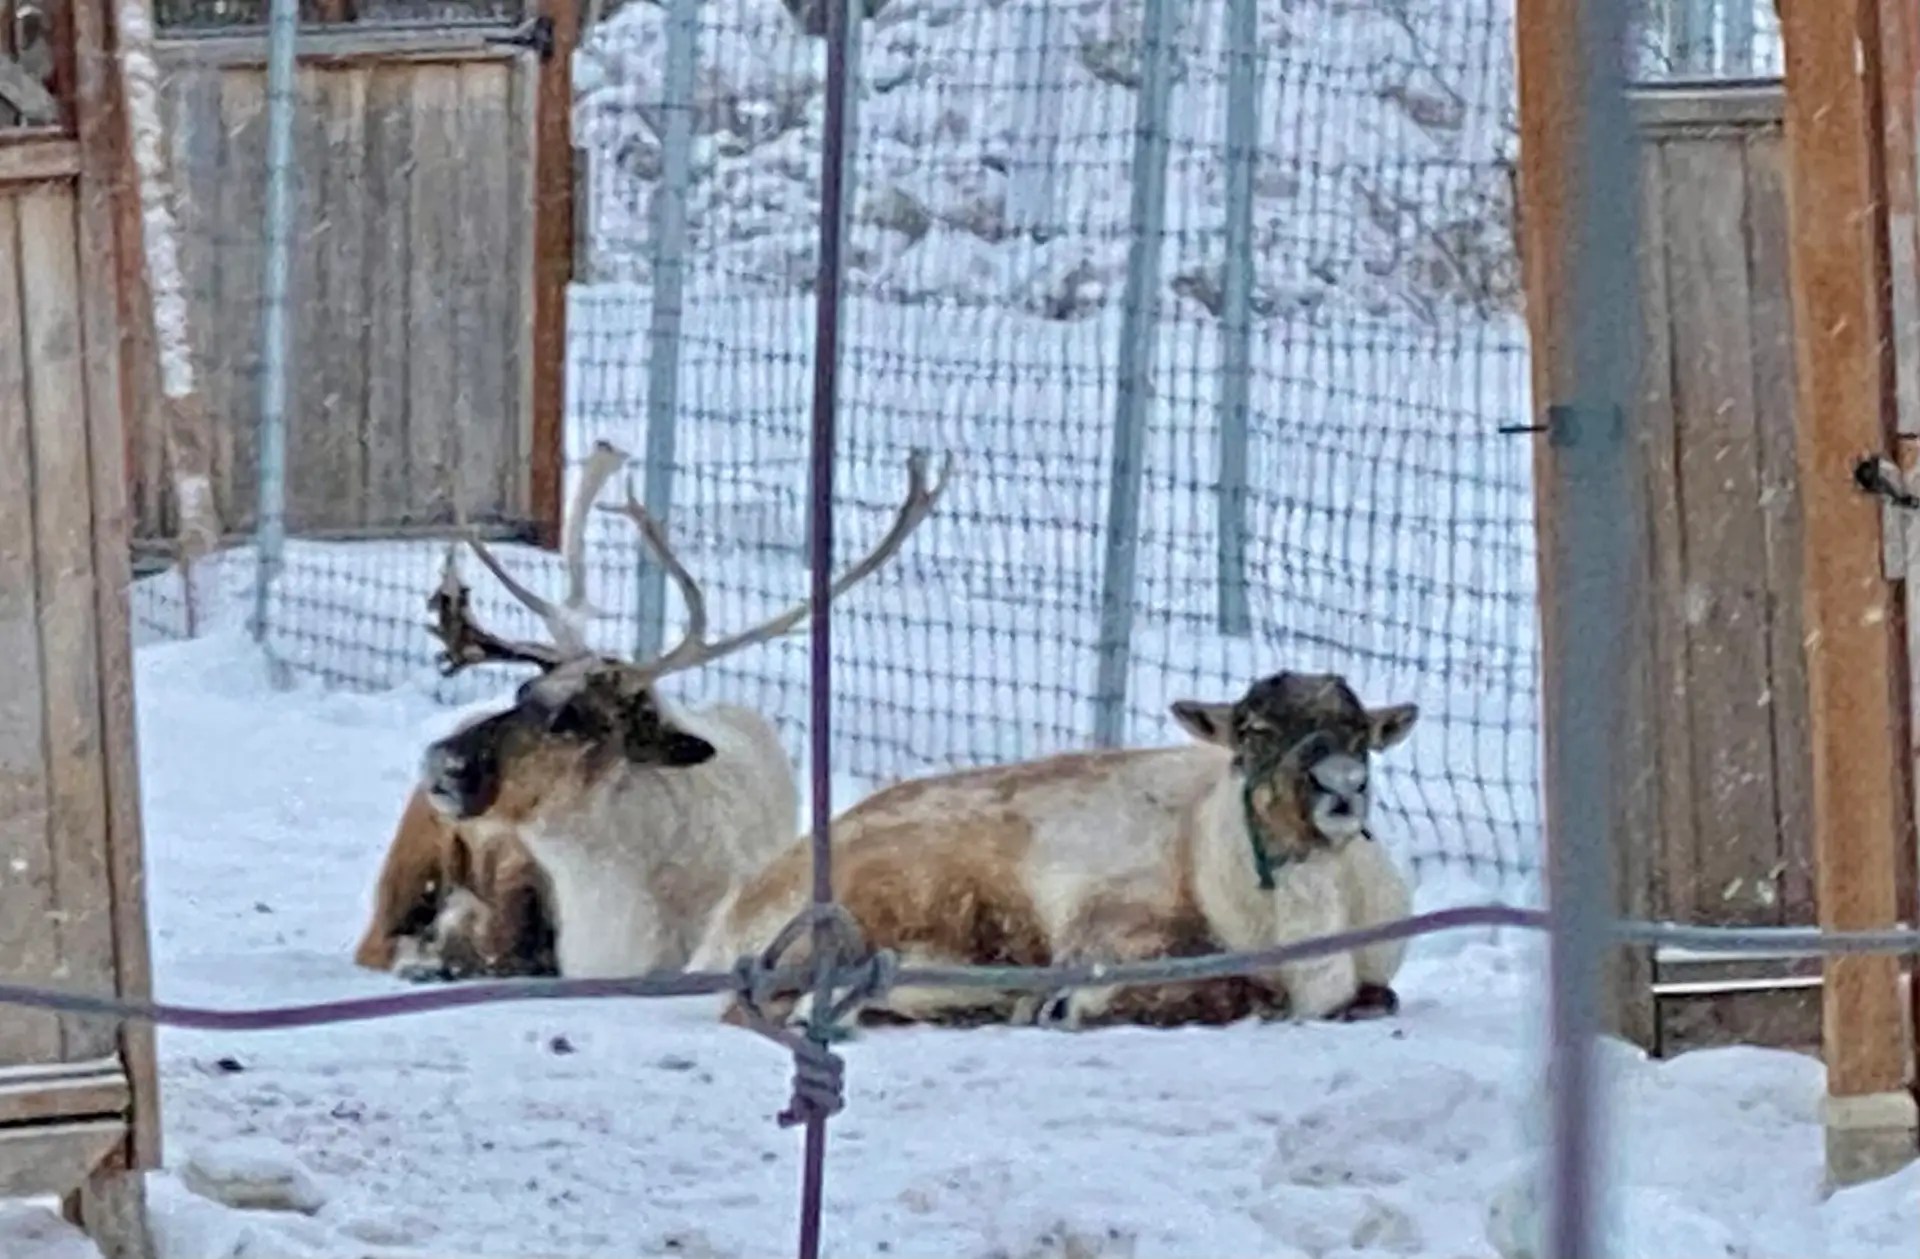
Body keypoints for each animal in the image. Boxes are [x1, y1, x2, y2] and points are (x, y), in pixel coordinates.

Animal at [689, 670, 1419, 1030]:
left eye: (1361, 732)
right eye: (1254, 728)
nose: (1342, 786)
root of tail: (725, 923)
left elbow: (1378, 996)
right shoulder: (1108, 929)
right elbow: (1226, 991)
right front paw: (1065, 1006)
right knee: (761, 1003)